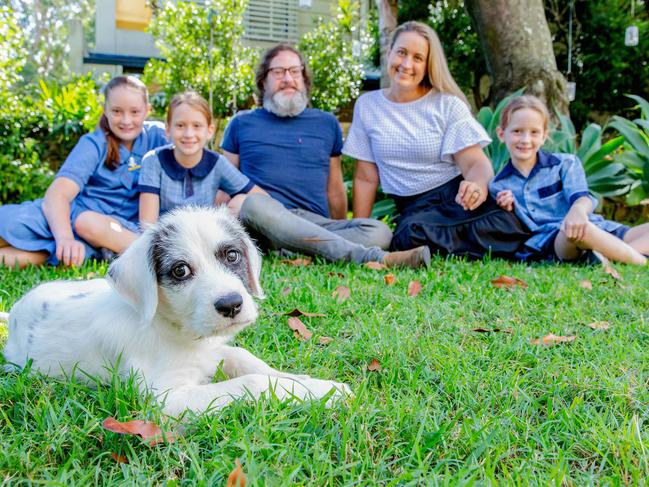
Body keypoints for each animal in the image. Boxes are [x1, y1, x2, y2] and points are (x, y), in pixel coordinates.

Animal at [2, 206, 350, 416]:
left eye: (232, 255)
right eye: (180, 271)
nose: (231, 304)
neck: (178, 332)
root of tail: (16, 310)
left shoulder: (215, 351)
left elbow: (249, 360)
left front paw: (314, 385)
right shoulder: (166, 398)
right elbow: (253, 383)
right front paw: (316, 391)